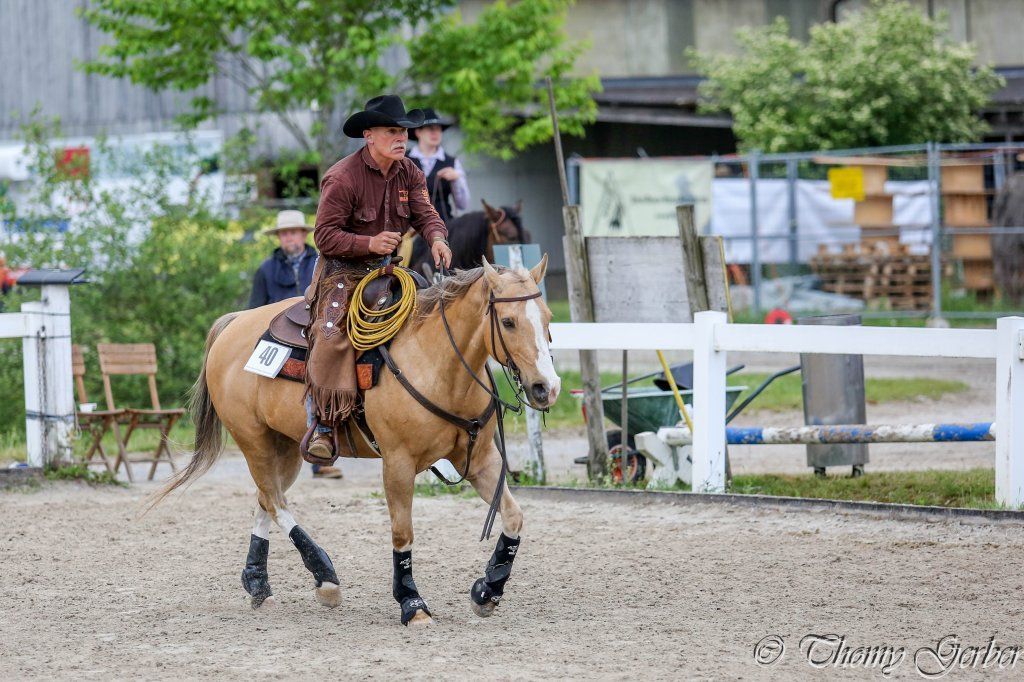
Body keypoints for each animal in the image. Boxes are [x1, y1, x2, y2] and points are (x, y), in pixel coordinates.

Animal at [153, 257, 559, 627]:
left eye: (548, 318)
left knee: (266, 500)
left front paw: (487, 590)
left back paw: (258, 584)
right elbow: (402, 532)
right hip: (252, 440)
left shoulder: (479, 459)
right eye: (508, 322)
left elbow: (513, 516)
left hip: (285, 446)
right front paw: (411, 602)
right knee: (274, 500)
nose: (547, 388)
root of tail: (234, 322)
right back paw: (325, 577)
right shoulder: (398, 462)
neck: (437, 364)